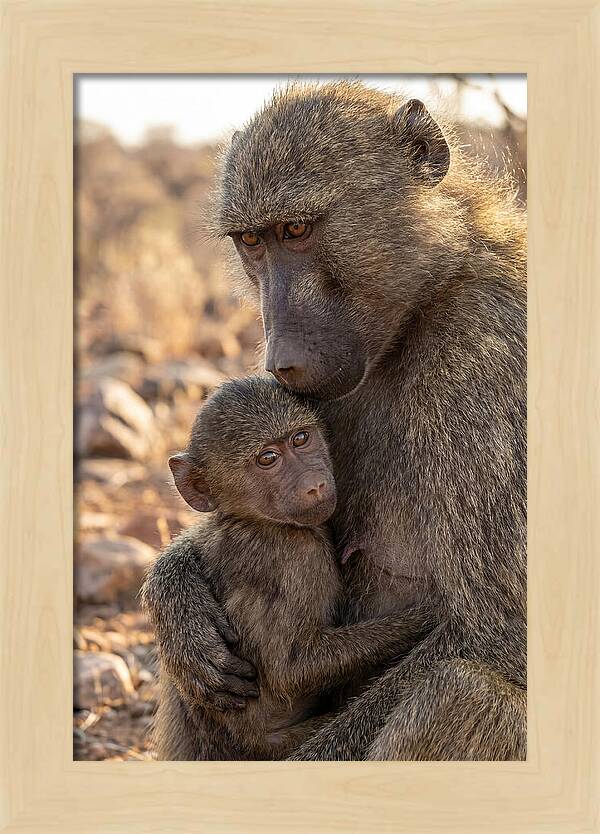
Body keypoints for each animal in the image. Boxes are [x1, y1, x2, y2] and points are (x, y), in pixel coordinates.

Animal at [142, 375, 432, 760]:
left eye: (301, 439)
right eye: (267, 459)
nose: (315, 485)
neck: (254, 520)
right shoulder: (297, 557)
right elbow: (291, 669)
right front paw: (430, 616)